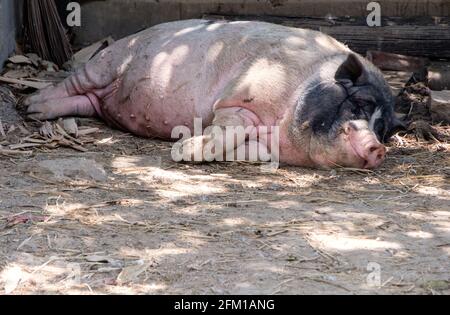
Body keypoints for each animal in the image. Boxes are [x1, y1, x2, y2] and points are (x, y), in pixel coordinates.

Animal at [26, 18, 402, 169]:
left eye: (383, 129)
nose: (378, 147)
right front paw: (183, 151)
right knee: (73, 84)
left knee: (86, 101)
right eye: (359, 104)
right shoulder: (238, 100)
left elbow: (256, 152)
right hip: (107, 61)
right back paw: (30, 107)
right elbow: (227, 130)